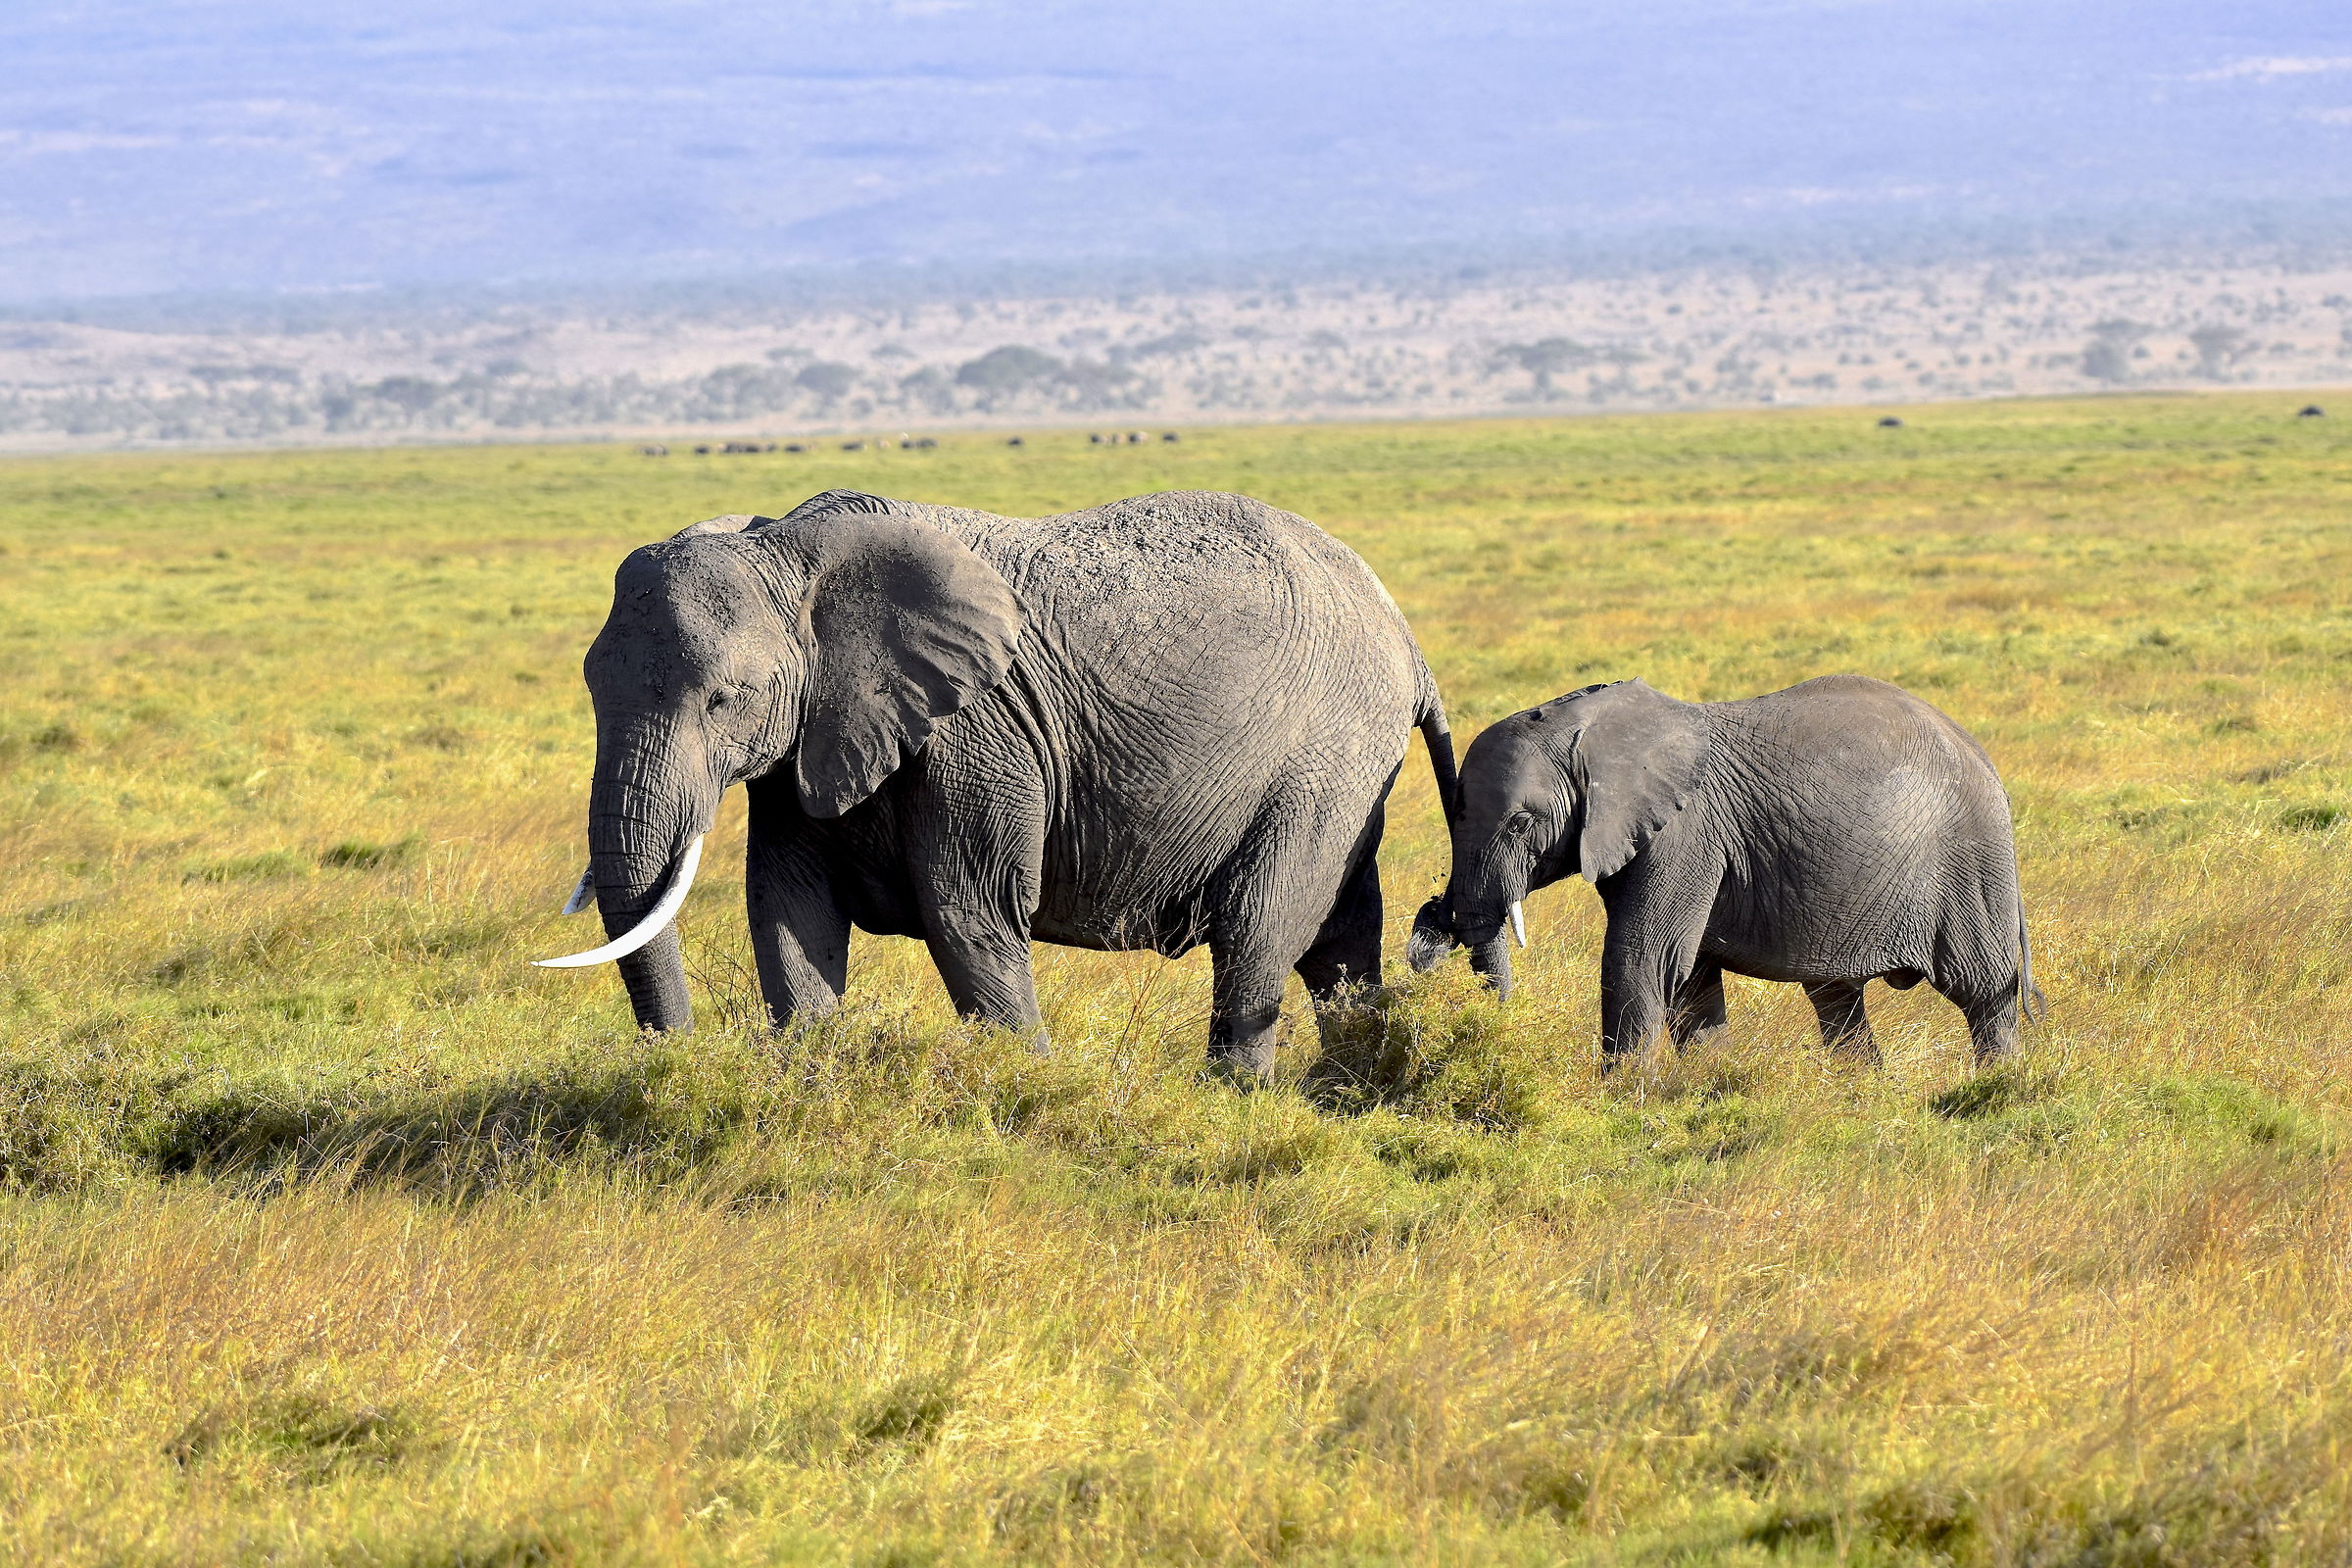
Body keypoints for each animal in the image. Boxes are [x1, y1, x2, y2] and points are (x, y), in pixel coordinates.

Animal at [535, 487, 1460, 1077]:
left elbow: (968, 914)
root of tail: (1406, 636)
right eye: (588, 685)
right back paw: (1345, 1091)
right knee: (1340, 938)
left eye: (726, 698)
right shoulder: (812, 735)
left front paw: (1022, 1095)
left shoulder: (977, 729)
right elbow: (788, 911)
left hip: (1327, 753)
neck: (788, 548)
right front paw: (812, 1081)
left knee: (1260, 930)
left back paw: (1234, 1102)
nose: (676, 1060)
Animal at [1408, 676, 2039, 1068]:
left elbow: (1643, 958)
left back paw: (2001, 1086)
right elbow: (1691, 981)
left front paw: (1623, 1106)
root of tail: (1980, 753)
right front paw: (1711, 1092)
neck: (1581, 722)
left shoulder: (1685, 834)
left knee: (1985, 991)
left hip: (1973, 863)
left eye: (1522, 823)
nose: (1433, 920)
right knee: (1837, 1000)